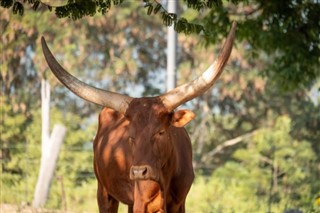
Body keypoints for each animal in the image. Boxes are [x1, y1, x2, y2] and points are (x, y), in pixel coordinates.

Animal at [41, 21, 236, 211]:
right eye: (130, 136)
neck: (165, 178)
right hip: (104, 192)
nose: (138, 172)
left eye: (160, 132)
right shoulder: (142, 202)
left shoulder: (180, 202)